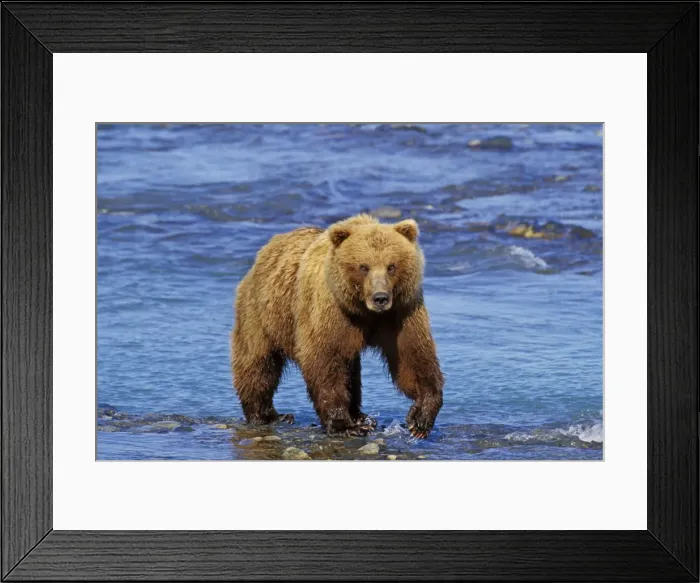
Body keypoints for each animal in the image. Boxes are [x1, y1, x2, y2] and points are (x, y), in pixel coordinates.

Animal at [231, 213, 444, 438]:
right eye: (363, 266)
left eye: (391, 266)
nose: (380, 298)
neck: (363, 310)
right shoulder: (330, 312)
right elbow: (324, 360)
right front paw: (344, 425)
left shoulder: (401, 312)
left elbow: (412, 356)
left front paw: (420, 418)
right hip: (263, 313)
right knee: (258, 361)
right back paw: (267, 415)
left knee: (352, 371)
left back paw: (360, 416)